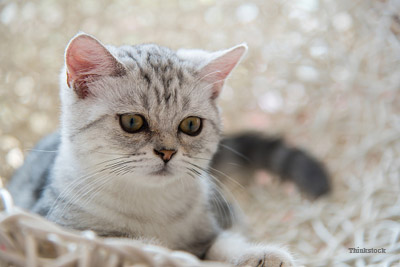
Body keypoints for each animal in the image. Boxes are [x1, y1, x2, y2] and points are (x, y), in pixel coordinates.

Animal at [7, 32, 332, 266]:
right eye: (132, 121)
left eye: (191, 125)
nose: (167, 152)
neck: (151, 206)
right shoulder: (58, 230)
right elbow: (123, 244)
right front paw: (157, 252)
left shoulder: (209, 228)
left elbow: (222, 243)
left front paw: (258, 255)